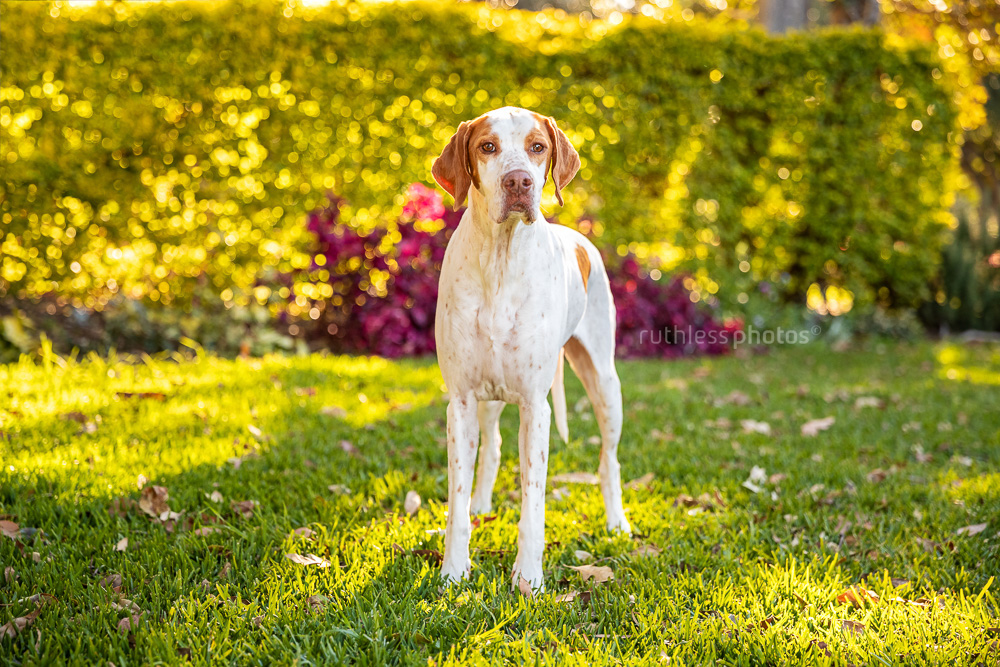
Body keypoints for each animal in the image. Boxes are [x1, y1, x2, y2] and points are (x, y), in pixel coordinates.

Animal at [432, 107, 632, 592]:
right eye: (487, 146)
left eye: (537, 146)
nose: (519, 181)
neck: (500, 259)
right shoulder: (460, 402)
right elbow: (456, 502)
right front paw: (454, 571)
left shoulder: (534, 407)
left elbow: (533, 506)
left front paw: (528, 578)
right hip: (487, 400)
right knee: (491, 447)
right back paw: (482, 503)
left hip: (605, 382)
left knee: (609, 460)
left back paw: (616, 521)